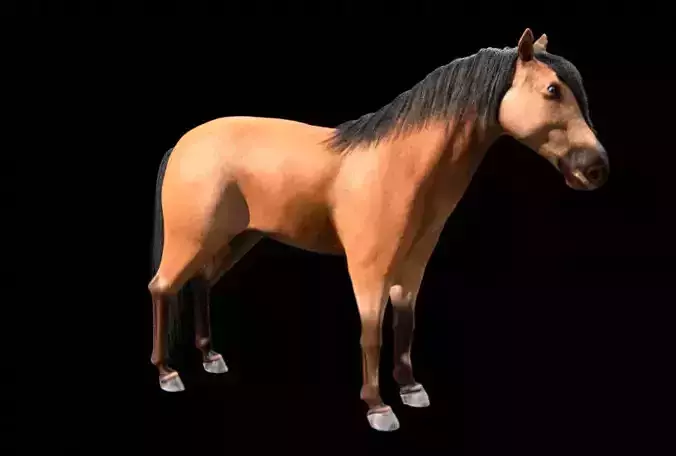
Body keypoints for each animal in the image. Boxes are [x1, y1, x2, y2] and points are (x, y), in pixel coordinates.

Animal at [149, 29, 609, 432]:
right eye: (552, 90)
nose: (596, 167)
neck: (400, 164)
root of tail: (183, 144)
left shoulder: (413, 266)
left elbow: (405, 323)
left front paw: (410, 388)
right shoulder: (369, 269)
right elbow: (371, 333)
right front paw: (378, 407)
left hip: (235, 238)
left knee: (201, 283)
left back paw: (210, 357)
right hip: (191, 240)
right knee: (162, 288)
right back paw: (167, 373)